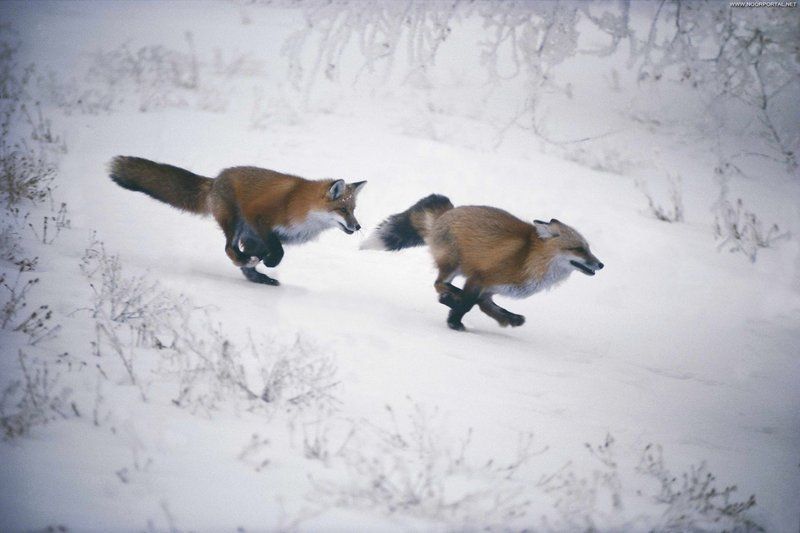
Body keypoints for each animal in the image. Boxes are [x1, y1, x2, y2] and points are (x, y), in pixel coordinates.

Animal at [109, 155, 366, 284]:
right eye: (343, 209)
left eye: (353, 210)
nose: (358, 226)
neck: (303, 210)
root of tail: (215, 179)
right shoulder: (259, 218)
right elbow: (277, 251)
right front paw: (268, 262)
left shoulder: (268, 237)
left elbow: (270, 252)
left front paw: (263, 265)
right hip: (235, 222)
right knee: (228, 249)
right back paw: (246, 262)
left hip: (244, 233)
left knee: (241, 260)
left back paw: (258, 276)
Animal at [360, 193, 600, 330]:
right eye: (578, 249)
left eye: (588, 248)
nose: (601, 265)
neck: (528, 258)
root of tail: (448, 211)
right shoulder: (479, 278)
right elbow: (468, 304)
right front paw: (454, 322)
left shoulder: (491, 289)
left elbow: (486, 306)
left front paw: (509, 319)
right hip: (453, 264)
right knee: (439, 284)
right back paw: (450, 297)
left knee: (446, 289)